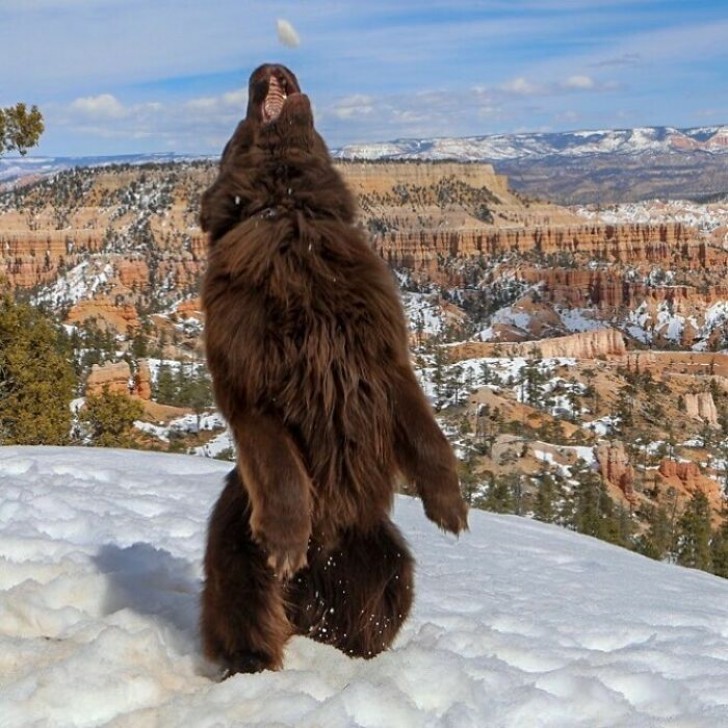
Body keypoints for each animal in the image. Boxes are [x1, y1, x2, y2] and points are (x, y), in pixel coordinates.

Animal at [202, 64, 470, 676]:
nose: (266, 66)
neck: (289, 214)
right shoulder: (249, 387)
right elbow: (281, 469)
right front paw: (285, 541)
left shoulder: (386, 363)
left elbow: (428, 436)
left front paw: (450, 506)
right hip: (235, 557)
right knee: (252, 622)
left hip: (388, 562)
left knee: (364, 627)